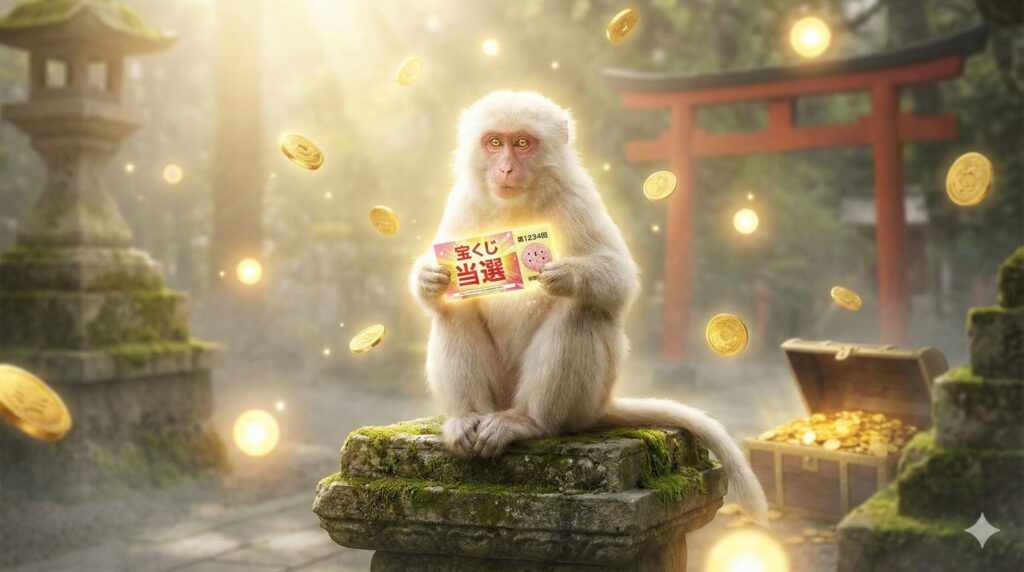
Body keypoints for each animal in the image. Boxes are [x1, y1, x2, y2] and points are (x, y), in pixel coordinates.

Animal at [409, 91, 768, 524]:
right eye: (494, 142)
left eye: (523, 143)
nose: (506, 167)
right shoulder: (462, 203)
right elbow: (444, 294)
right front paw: (432, 277)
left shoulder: (577, 198)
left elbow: (619, 281)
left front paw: (564, 275)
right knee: (454, 312)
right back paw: (467, 417)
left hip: (584, 400)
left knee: (580, 313)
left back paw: (527, 422)